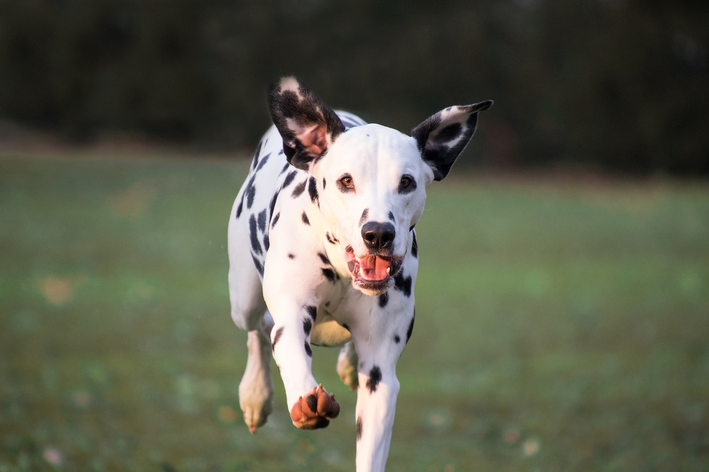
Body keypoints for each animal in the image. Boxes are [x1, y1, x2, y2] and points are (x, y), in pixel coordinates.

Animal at [228, 75, 492, 470]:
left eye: (406, 182)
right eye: (346, 181)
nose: (378, 233)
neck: (341, 269)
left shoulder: (381, 376)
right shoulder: (291, 315)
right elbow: (289, 350)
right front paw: (303, 401)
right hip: (243, 300)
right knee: (257, 329)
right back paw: (255, 394)